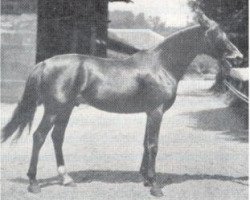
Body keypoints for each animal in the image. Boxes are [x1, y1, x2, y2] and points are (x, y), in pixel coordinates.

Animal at [0, 10, 242, 196]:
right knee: (39, 137)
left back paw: (66, 179)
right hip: (53, 109)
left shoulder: (150, 112)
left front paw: (145, 179)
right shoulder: (156, 111)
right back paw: (34, 183)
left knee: (57, 137)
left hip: (65, 109)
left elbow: (145, 143)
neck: (162, 64)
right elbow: (153, 145)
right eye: (219, 35)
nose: (238, 57)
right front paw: (155, 186)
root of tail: (45, 62)